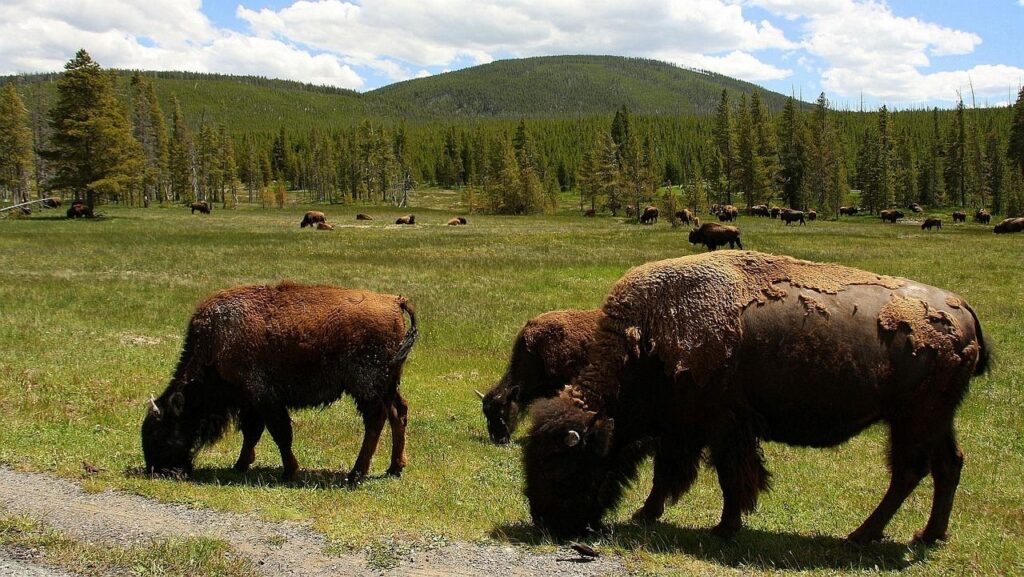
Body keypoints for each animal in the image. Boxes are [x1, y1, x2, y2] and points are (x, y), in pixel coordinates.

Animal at [142, 283, 417, 484]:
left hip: (367, 388)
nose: (157, 470)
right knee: (398, 412)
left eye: (160, 432)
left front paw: (289, 471)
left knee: (376, 421)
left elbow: (279, 434)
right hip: (387, 385)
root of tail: (394, 301)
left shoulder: (265, 400)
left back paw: (356, 474)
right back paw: (394, 468)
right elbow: (253, 434)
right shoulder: (253, 404)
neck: (215, 345)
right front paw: (240, 464)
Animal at [523, 251, 988, 543]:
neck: (648, 340)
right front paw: (646, 513)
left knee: (909, 472)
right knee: (947, 465)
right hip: (936, 419)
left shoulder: (723, 427)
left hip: (913, 420)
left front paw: (724, 527)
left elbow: (731, 477)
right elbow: (667, 474)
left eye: (562, 466)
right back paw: (927, 536)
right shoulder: (682, 429)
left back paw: (861, 536)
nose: (545, 521)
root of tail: (964, 308)